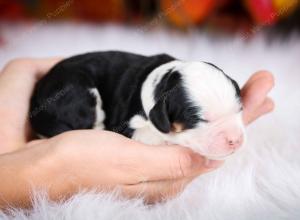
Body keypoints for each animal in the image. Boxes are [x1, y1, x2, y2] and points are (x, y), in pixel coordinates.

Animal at [0, 57, 274, 207]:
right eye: (200, 120)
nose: (235, 140)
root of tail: (36, 102)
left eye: (239, 109)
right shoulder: (131, 127)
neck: (163, 82)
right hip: (79, 90)